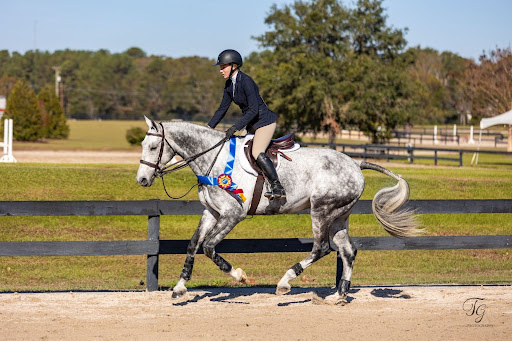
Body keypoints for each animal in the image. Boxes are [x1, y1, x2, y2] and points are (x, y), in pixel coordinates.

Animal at [136, 115, 420, 302]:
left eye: (153, 147)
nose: (142, 180)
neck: (212, 159)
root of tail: (355, 163)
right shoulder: (212, 213)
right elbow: (193, 245)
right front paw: (180, 286)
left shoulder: (232, 215)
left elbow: (208, 247)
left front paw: (239, 276)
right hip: (339, 216)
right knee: (347, 251)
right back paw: (338, 296)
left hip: (321, 211)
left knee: (322, 248)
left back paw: (285, 282)